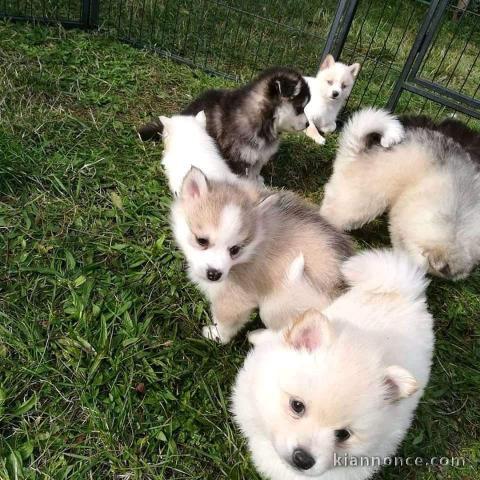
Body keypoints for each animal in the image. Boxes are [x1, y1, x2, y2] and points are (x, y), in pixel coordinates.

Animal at [139, 66, 312, 181]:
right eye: (300, 108)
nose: (308, 125)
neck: (262, 121)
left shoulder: (258, 157)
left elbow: (255, 172)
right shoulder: (239, 157)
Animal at [172, 167, 352, 344]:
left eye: (235, 249)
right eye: (201, 241)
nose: (214, 274)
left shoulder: (234, 299)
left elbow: (225, 323)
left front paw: (215, 335)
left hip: (275, 305)